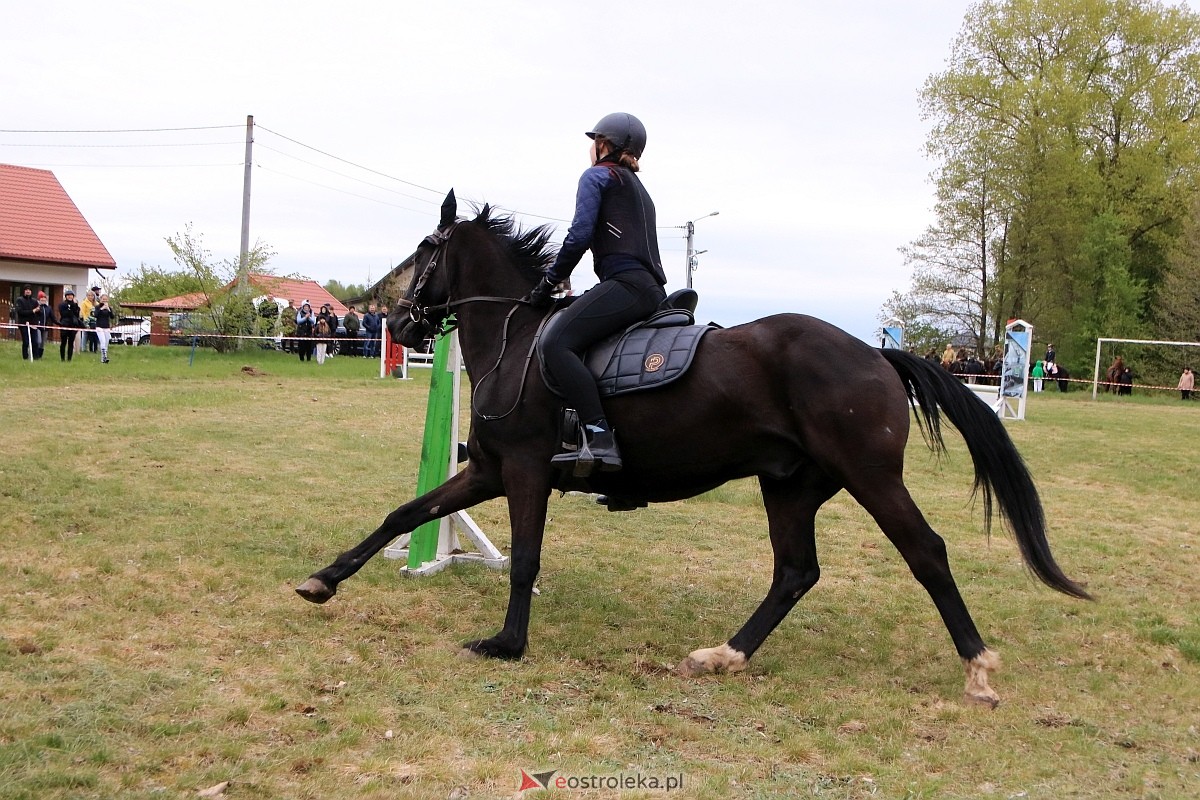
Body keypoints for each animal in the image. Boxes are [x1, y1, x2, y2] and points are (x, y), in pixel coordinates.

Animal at [297, 194, 1089, 705]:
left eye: (424, 253)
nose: (394, 317)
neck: (518, 340)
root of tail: (875, 353)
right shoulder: (488, 470)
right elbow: (405, 514)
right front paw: (323, 580)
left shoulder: (521, 471)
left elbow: (523, 559)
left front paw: (508, 642)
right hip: (791, 483)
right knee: (795, 572)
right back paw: (724, 655)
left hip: (869, 475)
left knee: (925, 552)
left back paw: (978, 668)